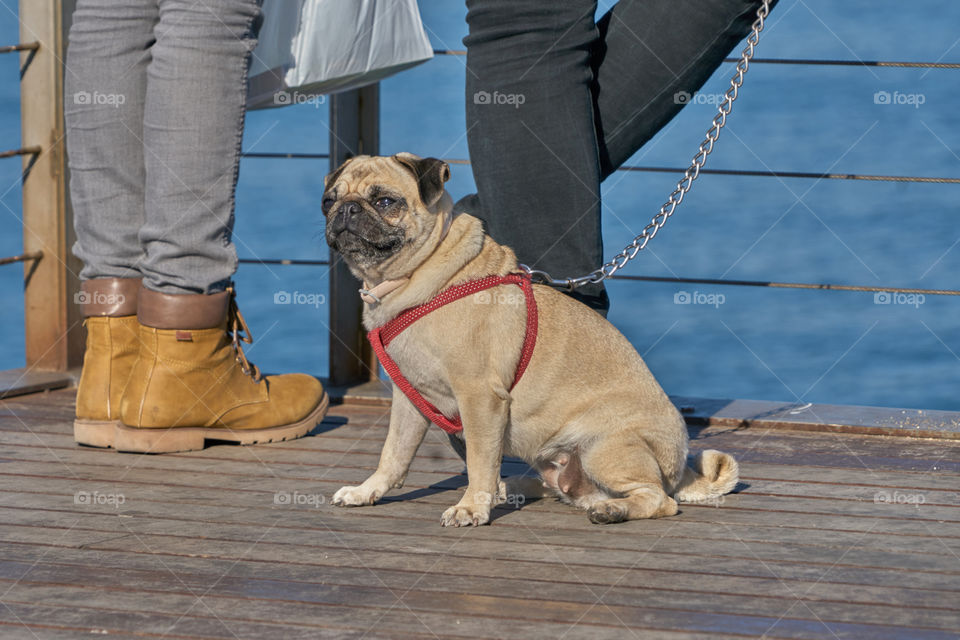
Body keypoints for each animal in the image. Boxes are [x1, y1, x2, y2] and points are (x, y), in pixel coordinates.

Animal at [326, 154, 740, 524]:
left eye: (385, 201)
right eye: (329, 200)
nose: (346, 210)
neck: (418, 278)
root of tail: (680, 470)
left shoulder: (479, 397)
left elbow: (478, 459)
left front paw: (470, 508)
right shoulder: (409, 398)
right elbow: (394, 454)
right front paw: (368, 491)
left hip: (604, 448)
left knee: (657, 499)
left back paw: (612, 509)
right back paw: (513, 488)